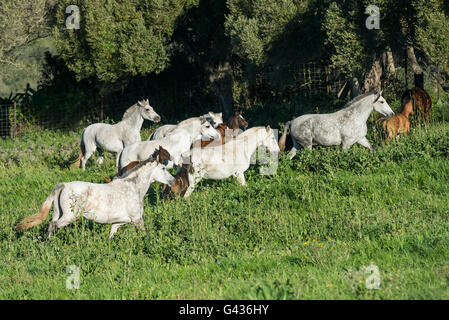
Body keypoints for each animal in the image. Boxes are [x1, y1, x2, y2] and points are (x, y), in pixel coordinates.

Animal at [15, 151, 174, 239]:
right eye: (163, 168)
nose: (172, 181)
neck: (133, 188)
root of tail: (64, 185)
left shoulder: (117, 223)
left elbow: (111, 237)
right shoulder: (137, 220)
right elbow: (145, 235)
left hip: (57, 213)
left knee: (50, 225)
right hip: (70, 216)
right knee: (52, 225)